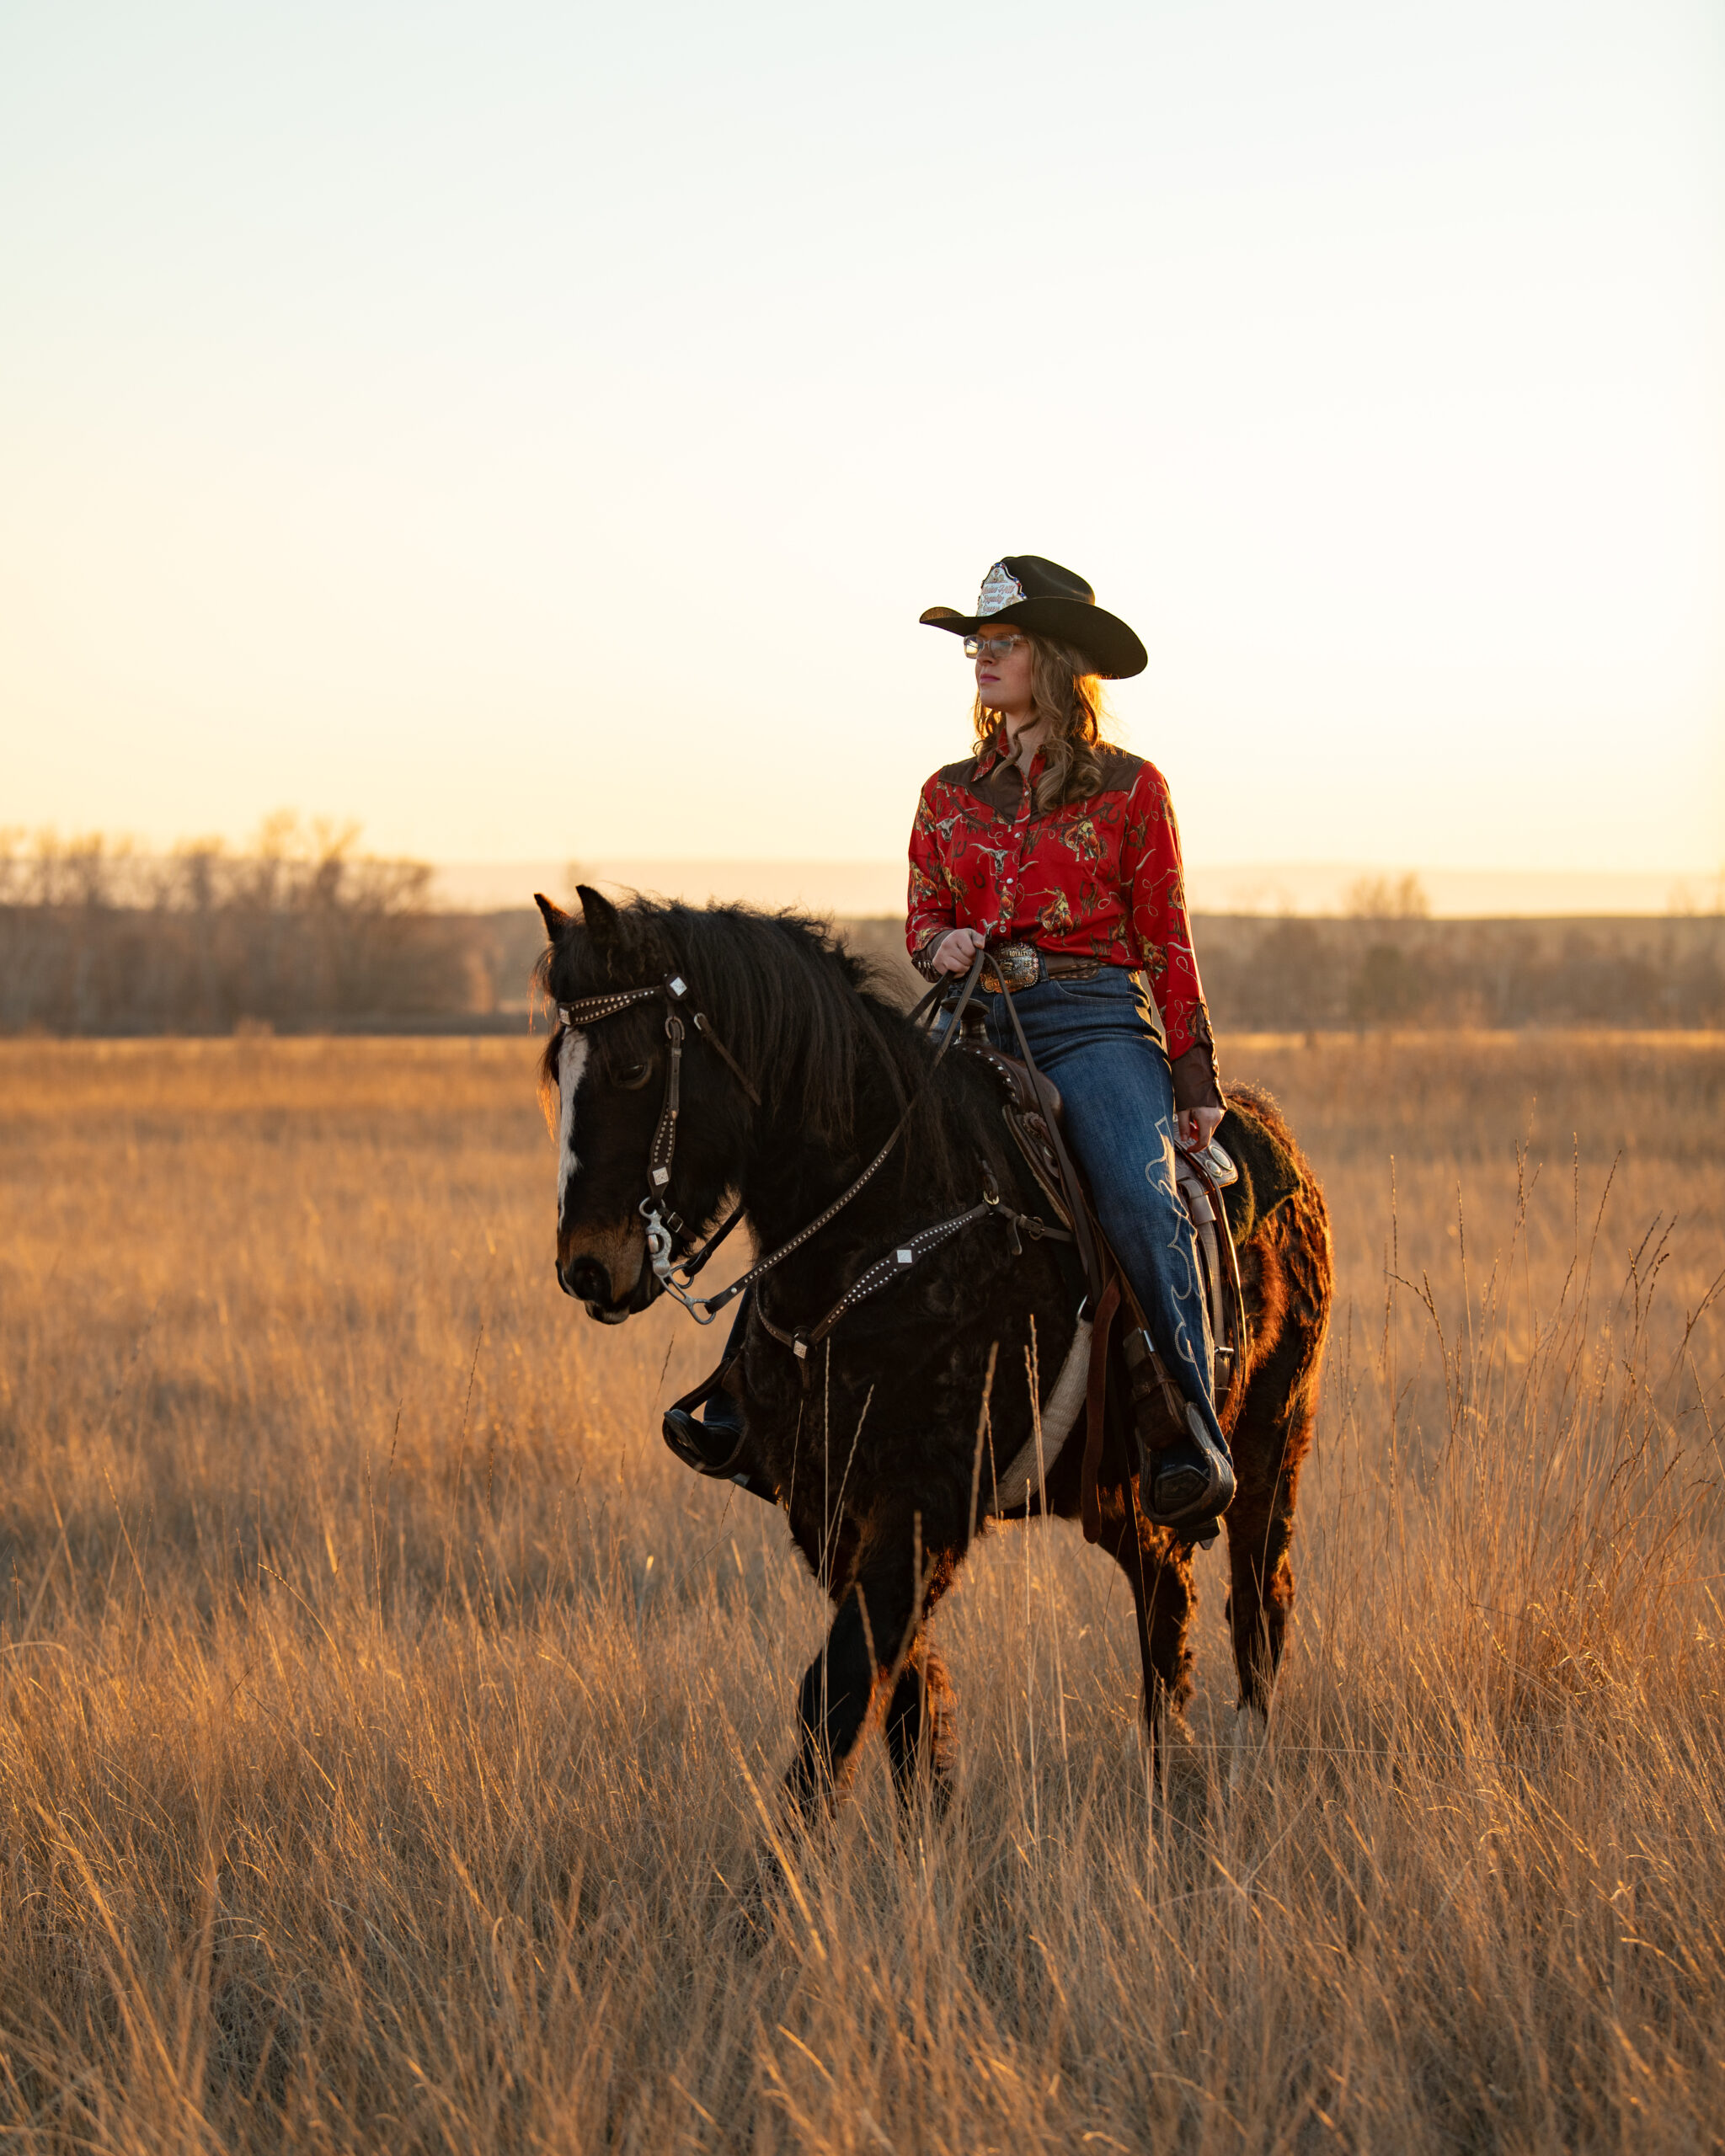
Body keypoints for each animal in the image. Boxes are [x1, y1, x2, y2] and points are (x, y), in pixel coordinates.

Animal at [539, 892, 1337, 1819]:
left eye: (633, 1069)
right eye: (558, 1070)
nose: (586, 1267)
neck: (892, 1221)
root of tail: (1278, 1142)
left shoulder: (926, 1500)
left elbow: (841, 1686)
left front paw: (787, 1859)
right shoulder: (827, 1508)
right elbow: (901, 1694)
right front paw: (930, 1832)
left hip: (1271, 1444)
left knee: (1259, 1602)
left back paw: (1237, 1773)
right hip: (1116, 1487)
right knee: (1165, 1593)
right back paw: (1169, 1781)